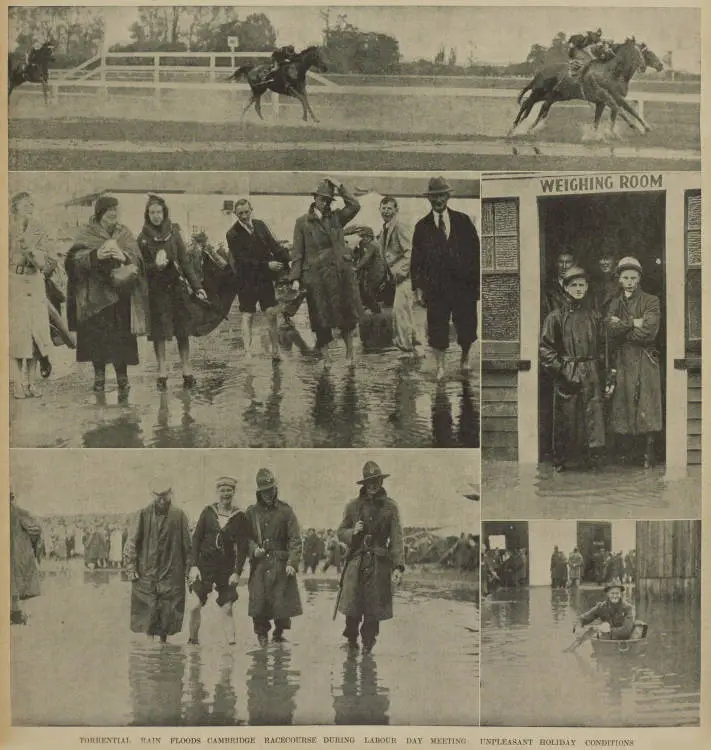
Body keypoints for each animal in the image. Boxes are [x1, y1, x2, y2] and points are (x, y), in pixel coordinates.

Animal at [508, 40, 664, 138]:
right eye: (647, 53)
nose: (661, 65)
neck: (612, 72)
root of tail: (540, 71)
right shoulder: (607, 97)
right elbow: (620, 111)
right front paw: (635, 128)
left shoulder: (608, 99)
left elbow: (622, 112)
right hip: (539, 91)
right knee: (526, 104)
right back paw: (514, 128)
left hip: (553, 95)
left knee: (540, 108)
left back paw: (527, 128)